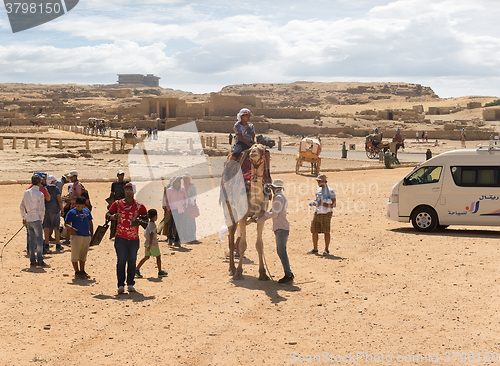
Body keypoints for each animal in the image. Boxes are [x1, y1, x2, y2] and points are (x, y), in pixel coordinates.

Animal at [221, 143, 272, 280]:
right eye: (253, 147)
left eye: (262, 149)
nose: (253, 152)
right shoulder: (242, 217)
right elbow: (243, 244)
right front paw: (239, 272)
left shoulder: (261, 218)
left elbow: (259, 245)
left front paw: (263, 273)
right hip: (229, 211)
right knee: (231, 237)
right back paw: (231, 269)